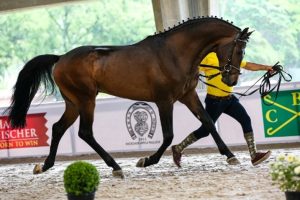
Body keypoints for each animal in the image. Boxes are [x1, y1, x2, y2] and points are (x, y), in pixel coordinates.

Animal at [4, 16, 251, 177]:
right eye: (239, 50)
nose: (231, 80)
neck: (175, 53)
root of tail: (60, 58)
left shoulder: (188, 95)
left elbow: (208, 122)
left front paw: (230, 155)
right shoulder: (164, 101)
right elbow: (168, 135)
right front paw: (146, 160)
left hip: (73, 103)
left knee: (58, 128)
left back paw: (44, 166)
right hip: (86, 101)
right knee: (85, 132)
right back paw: (115, 167)